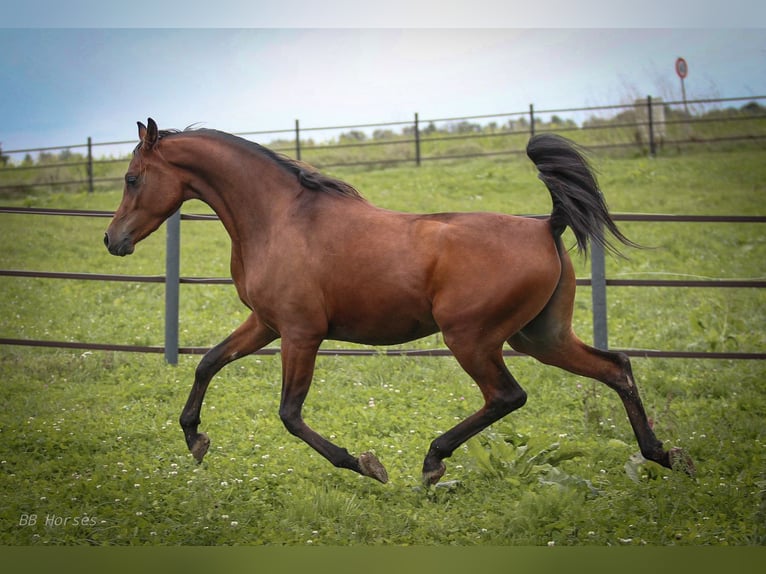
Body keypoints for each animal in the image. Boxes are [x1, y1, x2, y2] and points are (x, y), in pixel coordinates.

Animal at [103, 120, 696, 486]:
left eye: (132, 178)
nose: (113, 240)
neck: (279, 218)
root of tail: (545, 226)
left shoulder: (300, 333)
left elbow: (290, 414)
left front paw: (366, 464)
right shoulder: (266, 324)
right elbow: (207, 363)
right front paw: (195, 439)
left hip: (472, 338)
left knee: (508, 396)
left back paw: (432, 463)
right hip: (542, 336)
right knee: (615, 367)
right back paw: (665, 454)